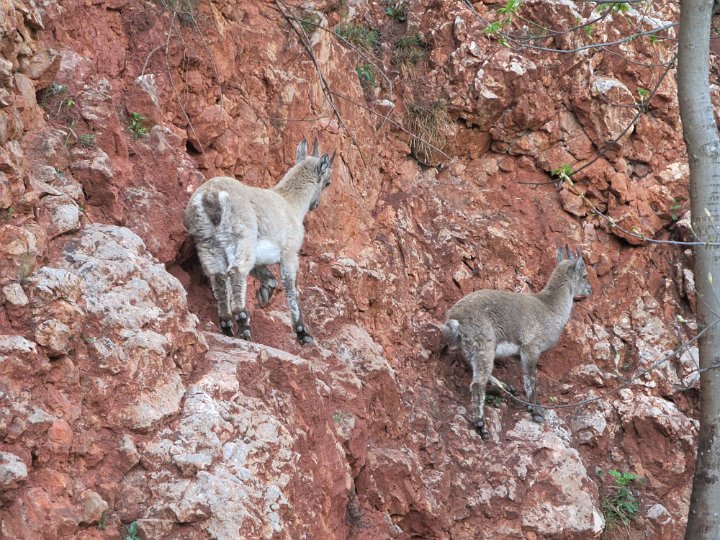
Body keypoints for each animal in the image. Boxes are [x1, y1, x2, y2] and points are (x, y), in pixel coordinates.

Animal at [183, 139, 334, 342]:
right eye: (327, 182)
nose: (315, 205)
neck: (290, 204)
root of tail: (210, 196)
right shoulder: (289, 254)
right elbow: (291, 288)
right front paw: (303, 333)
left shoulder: (259, 259)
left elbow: (270, 278)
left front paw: (264, 295)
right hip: (241, 239)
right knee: (237, 272)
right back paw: (244, 325)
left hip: (207, 243)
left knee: (218, 277)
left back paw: (227, 326)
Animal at [444, 248, 592, 438]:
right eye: (585, 275)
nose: (590, 290)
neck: (550, 308)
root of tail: (455, 318)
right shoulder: (531, 347)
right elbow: (531, 379)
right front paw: (536, 412)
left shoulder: (519, 352)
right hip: (484, 344)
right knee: (477, 384)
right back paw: (481, 425)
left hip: (472, 347)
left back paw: (507, 389)